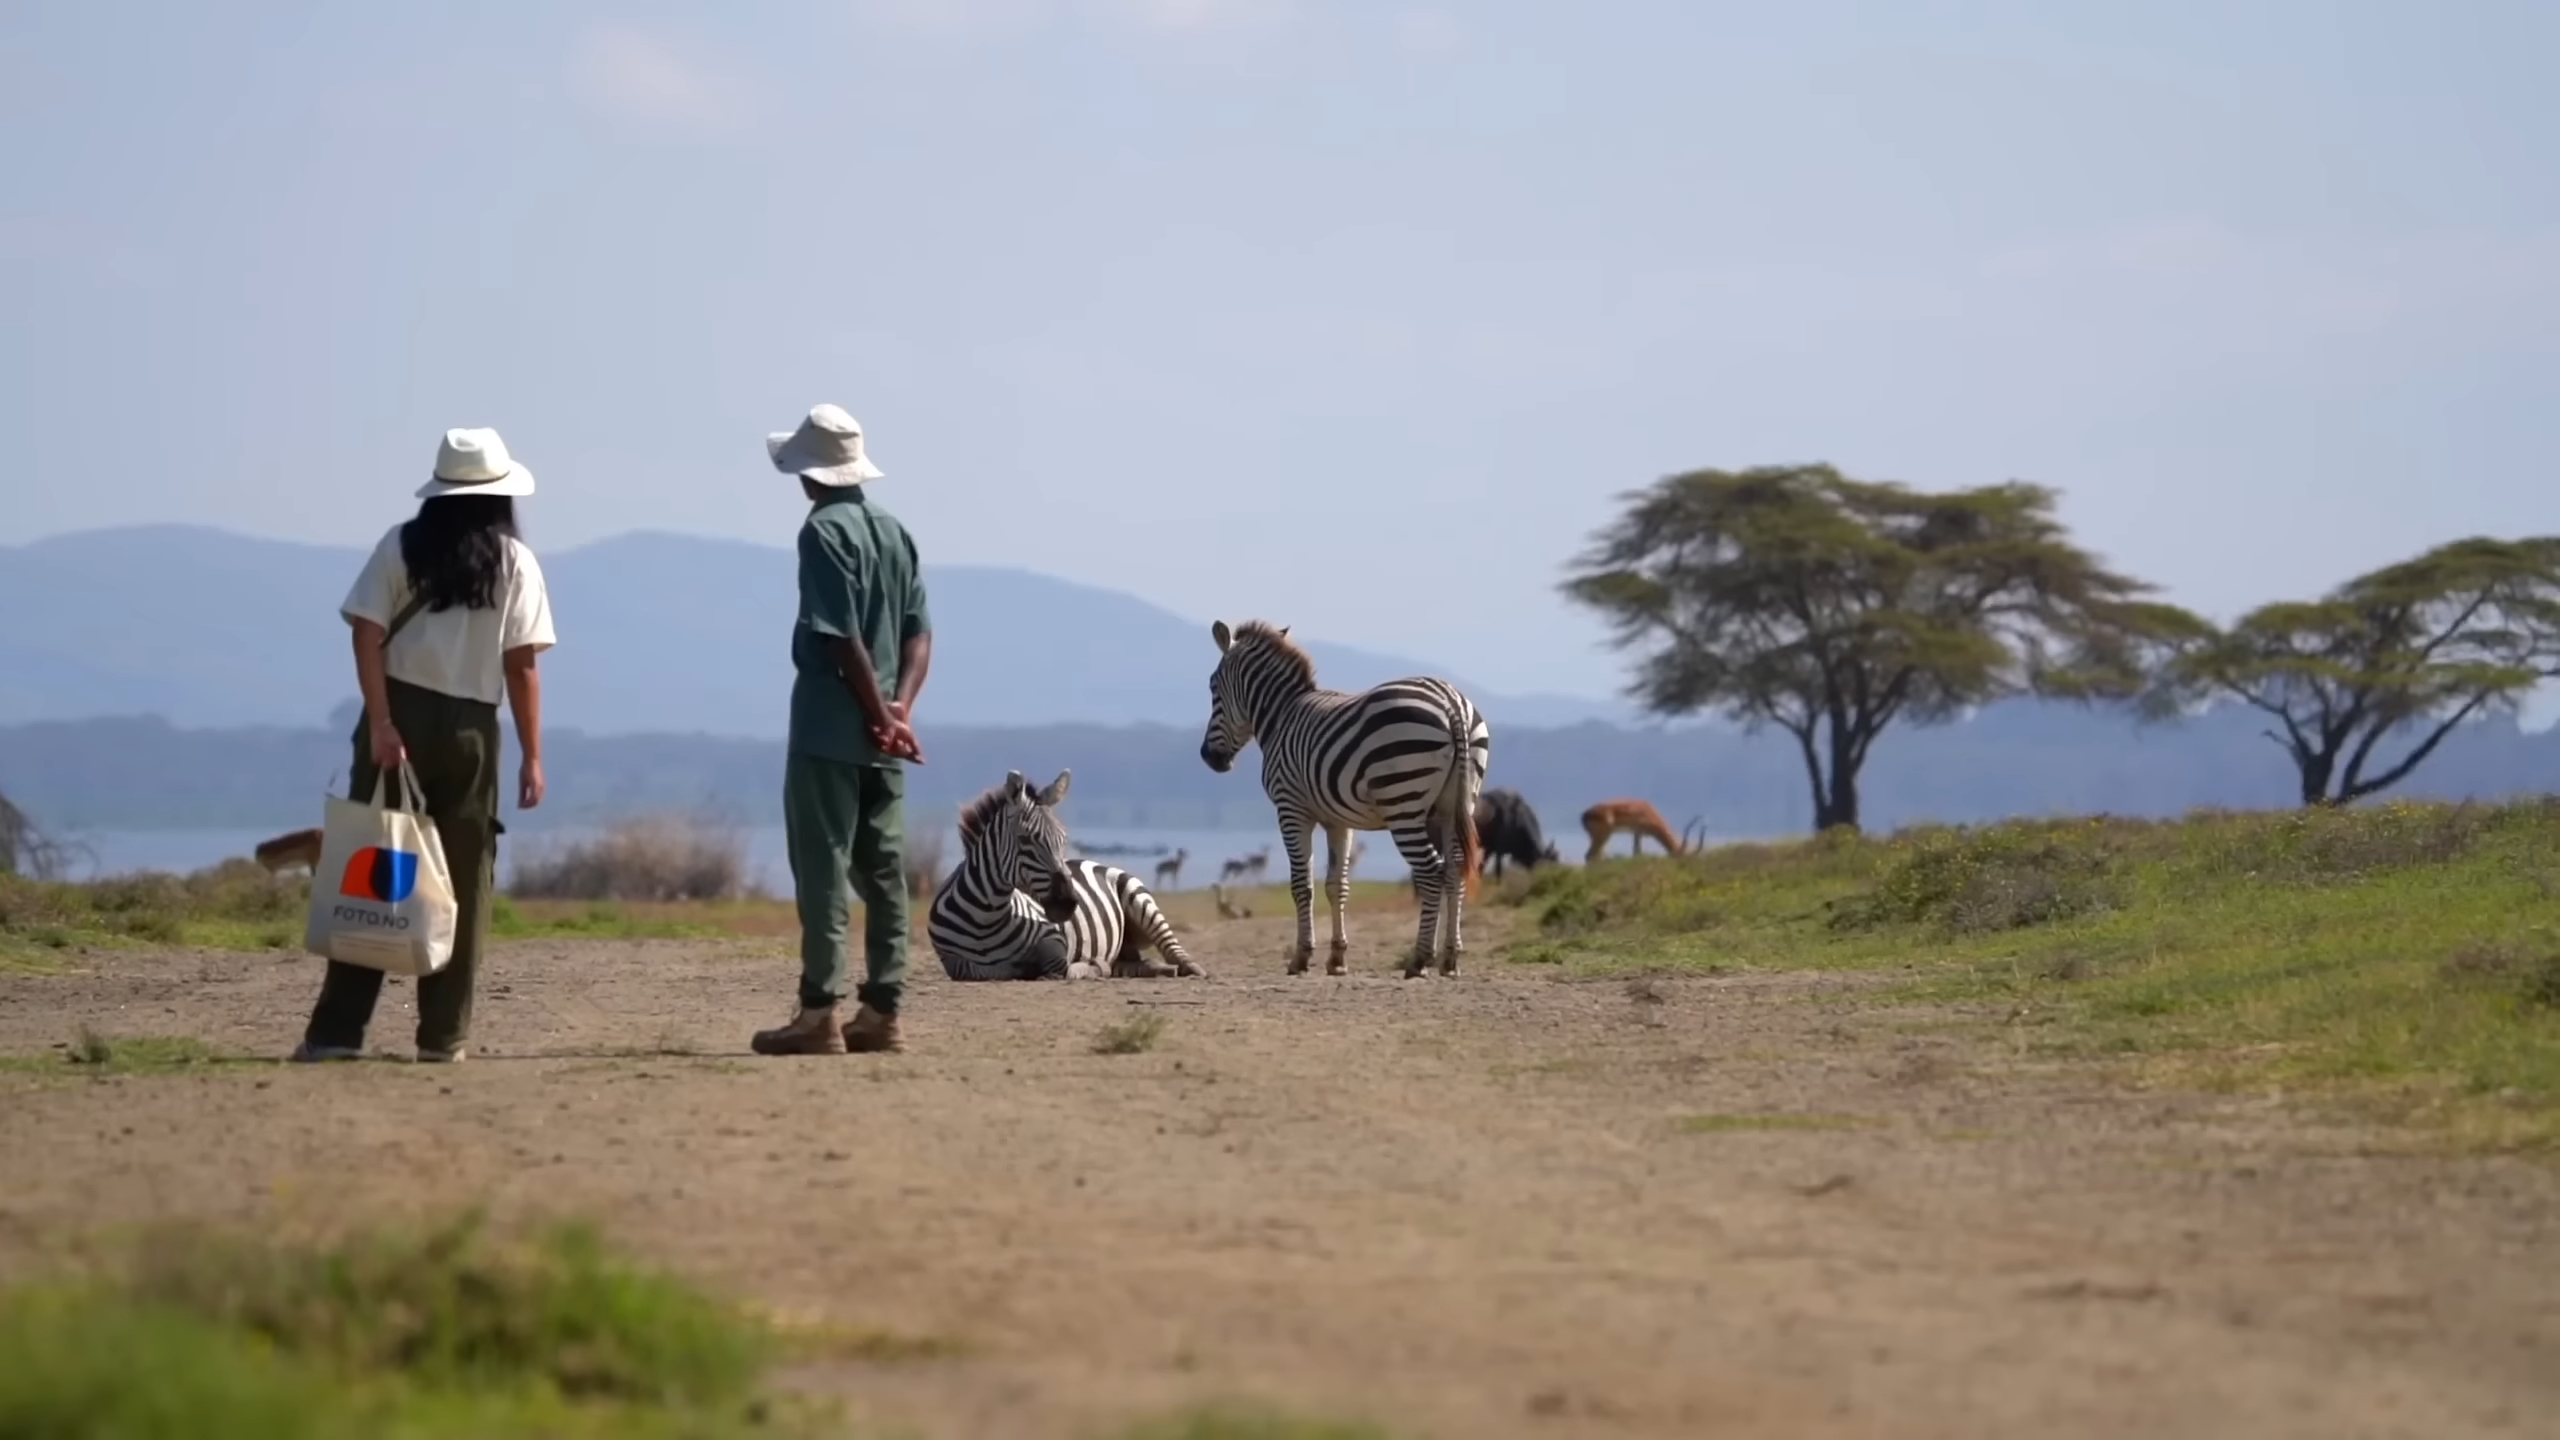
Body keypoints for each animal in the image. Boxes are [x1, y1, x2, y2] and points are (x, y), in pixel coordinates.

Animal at [931, 768, 1208, 978]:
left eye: (1063, 839)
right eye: (1024, 839)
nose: (1068, 904)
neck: (984, 919)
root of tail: (1093, 860)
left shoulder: (1054, 940)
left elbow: (1061, 969)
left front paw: (1092, 967)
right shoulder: (953, 962)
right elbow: (986, 970)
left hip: (1139, 897)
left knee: (1172, 948)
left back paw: (1189, 968)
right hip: (1126, 950)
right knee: (1136, 965)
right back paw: (1157, 969)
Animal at [1192, 617, 1495, 973]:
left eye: (1213, 687)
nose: (1209, 758)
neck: (1281, 716)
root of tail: (1451, 702)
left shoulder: (1291, 810)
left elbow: (1302, 885)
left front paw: (1302, 956)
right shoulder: (1339, 821)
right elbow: (1337, 886)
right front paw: (1337, 958)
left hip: (1403, 805)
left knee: (1431, 872)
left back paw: (1420, 958)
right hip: (1456, 804)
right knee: (1455, 869)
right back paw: (1450, 958)